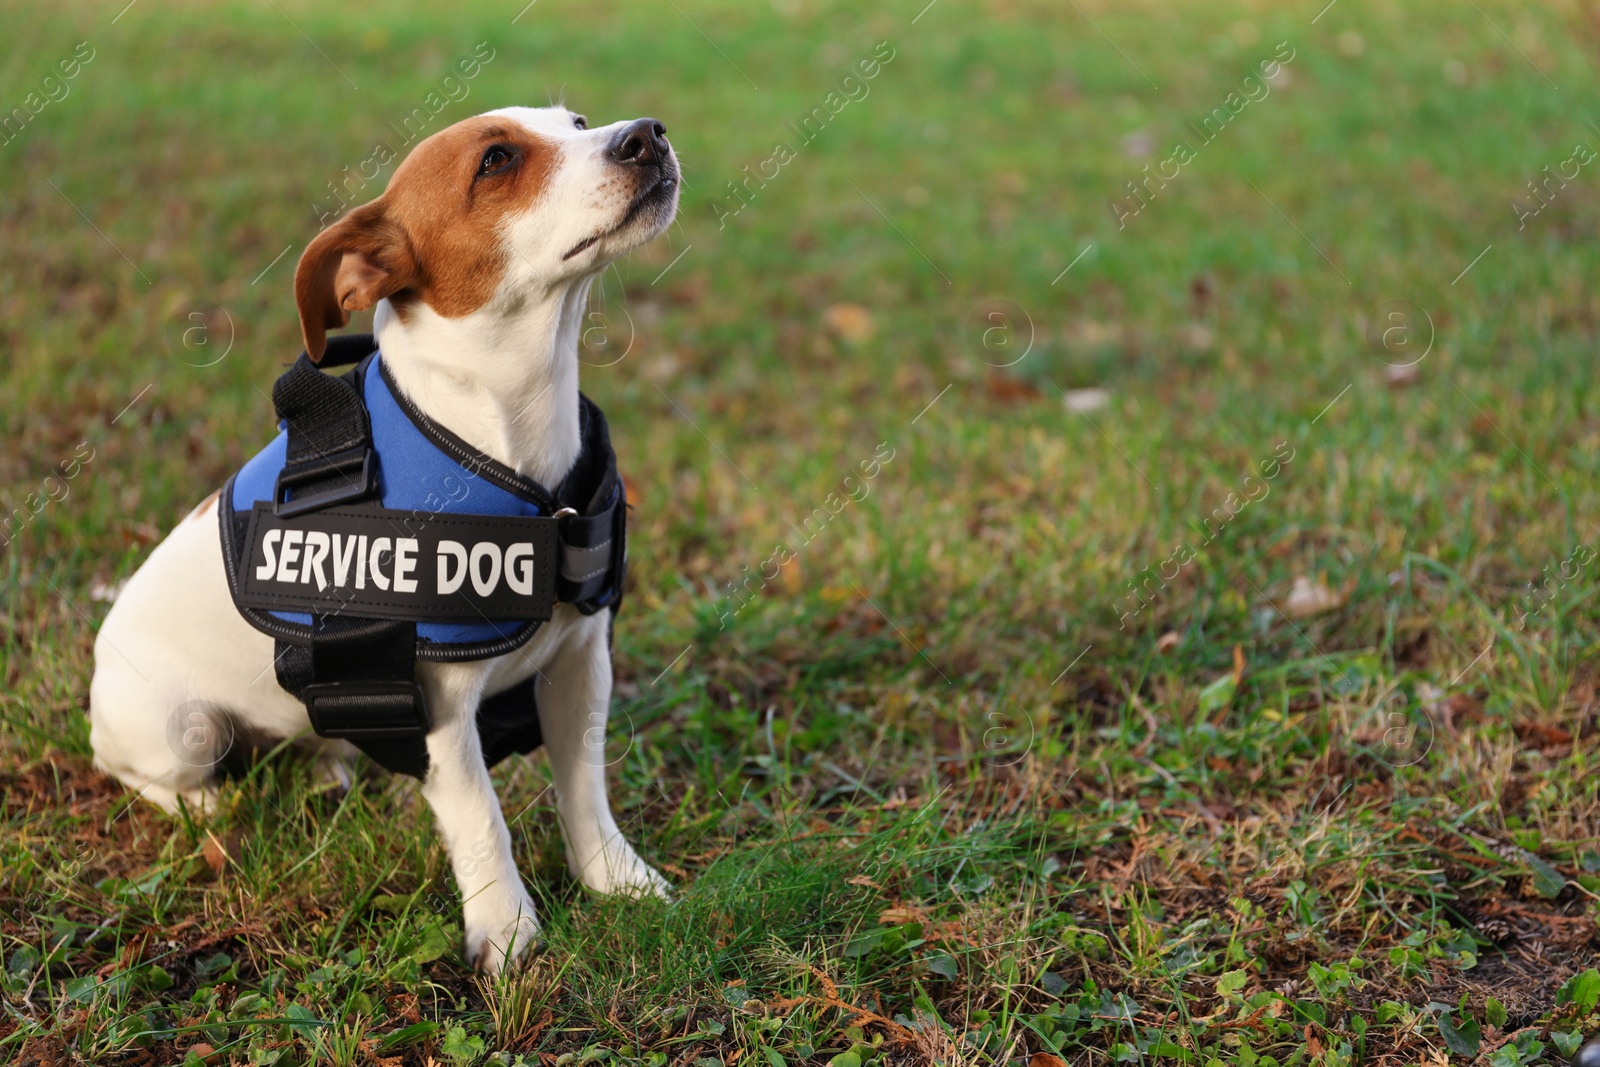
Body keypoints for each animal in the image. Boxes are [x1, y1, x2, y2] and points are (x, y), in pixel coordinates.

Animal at [89, 103, 675, 972]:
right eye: (496, 161)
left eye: (574, 120)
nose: (647, 134)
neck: (512, 436)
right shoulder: (441, 715)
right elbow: (482, 820)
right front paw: (507, 932)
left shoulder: (578, 667)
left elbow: (584, 787)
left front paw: (616, 879)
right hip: (179, 731)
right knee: (149, 773)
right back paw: (212, 806)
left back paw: (329, 762)